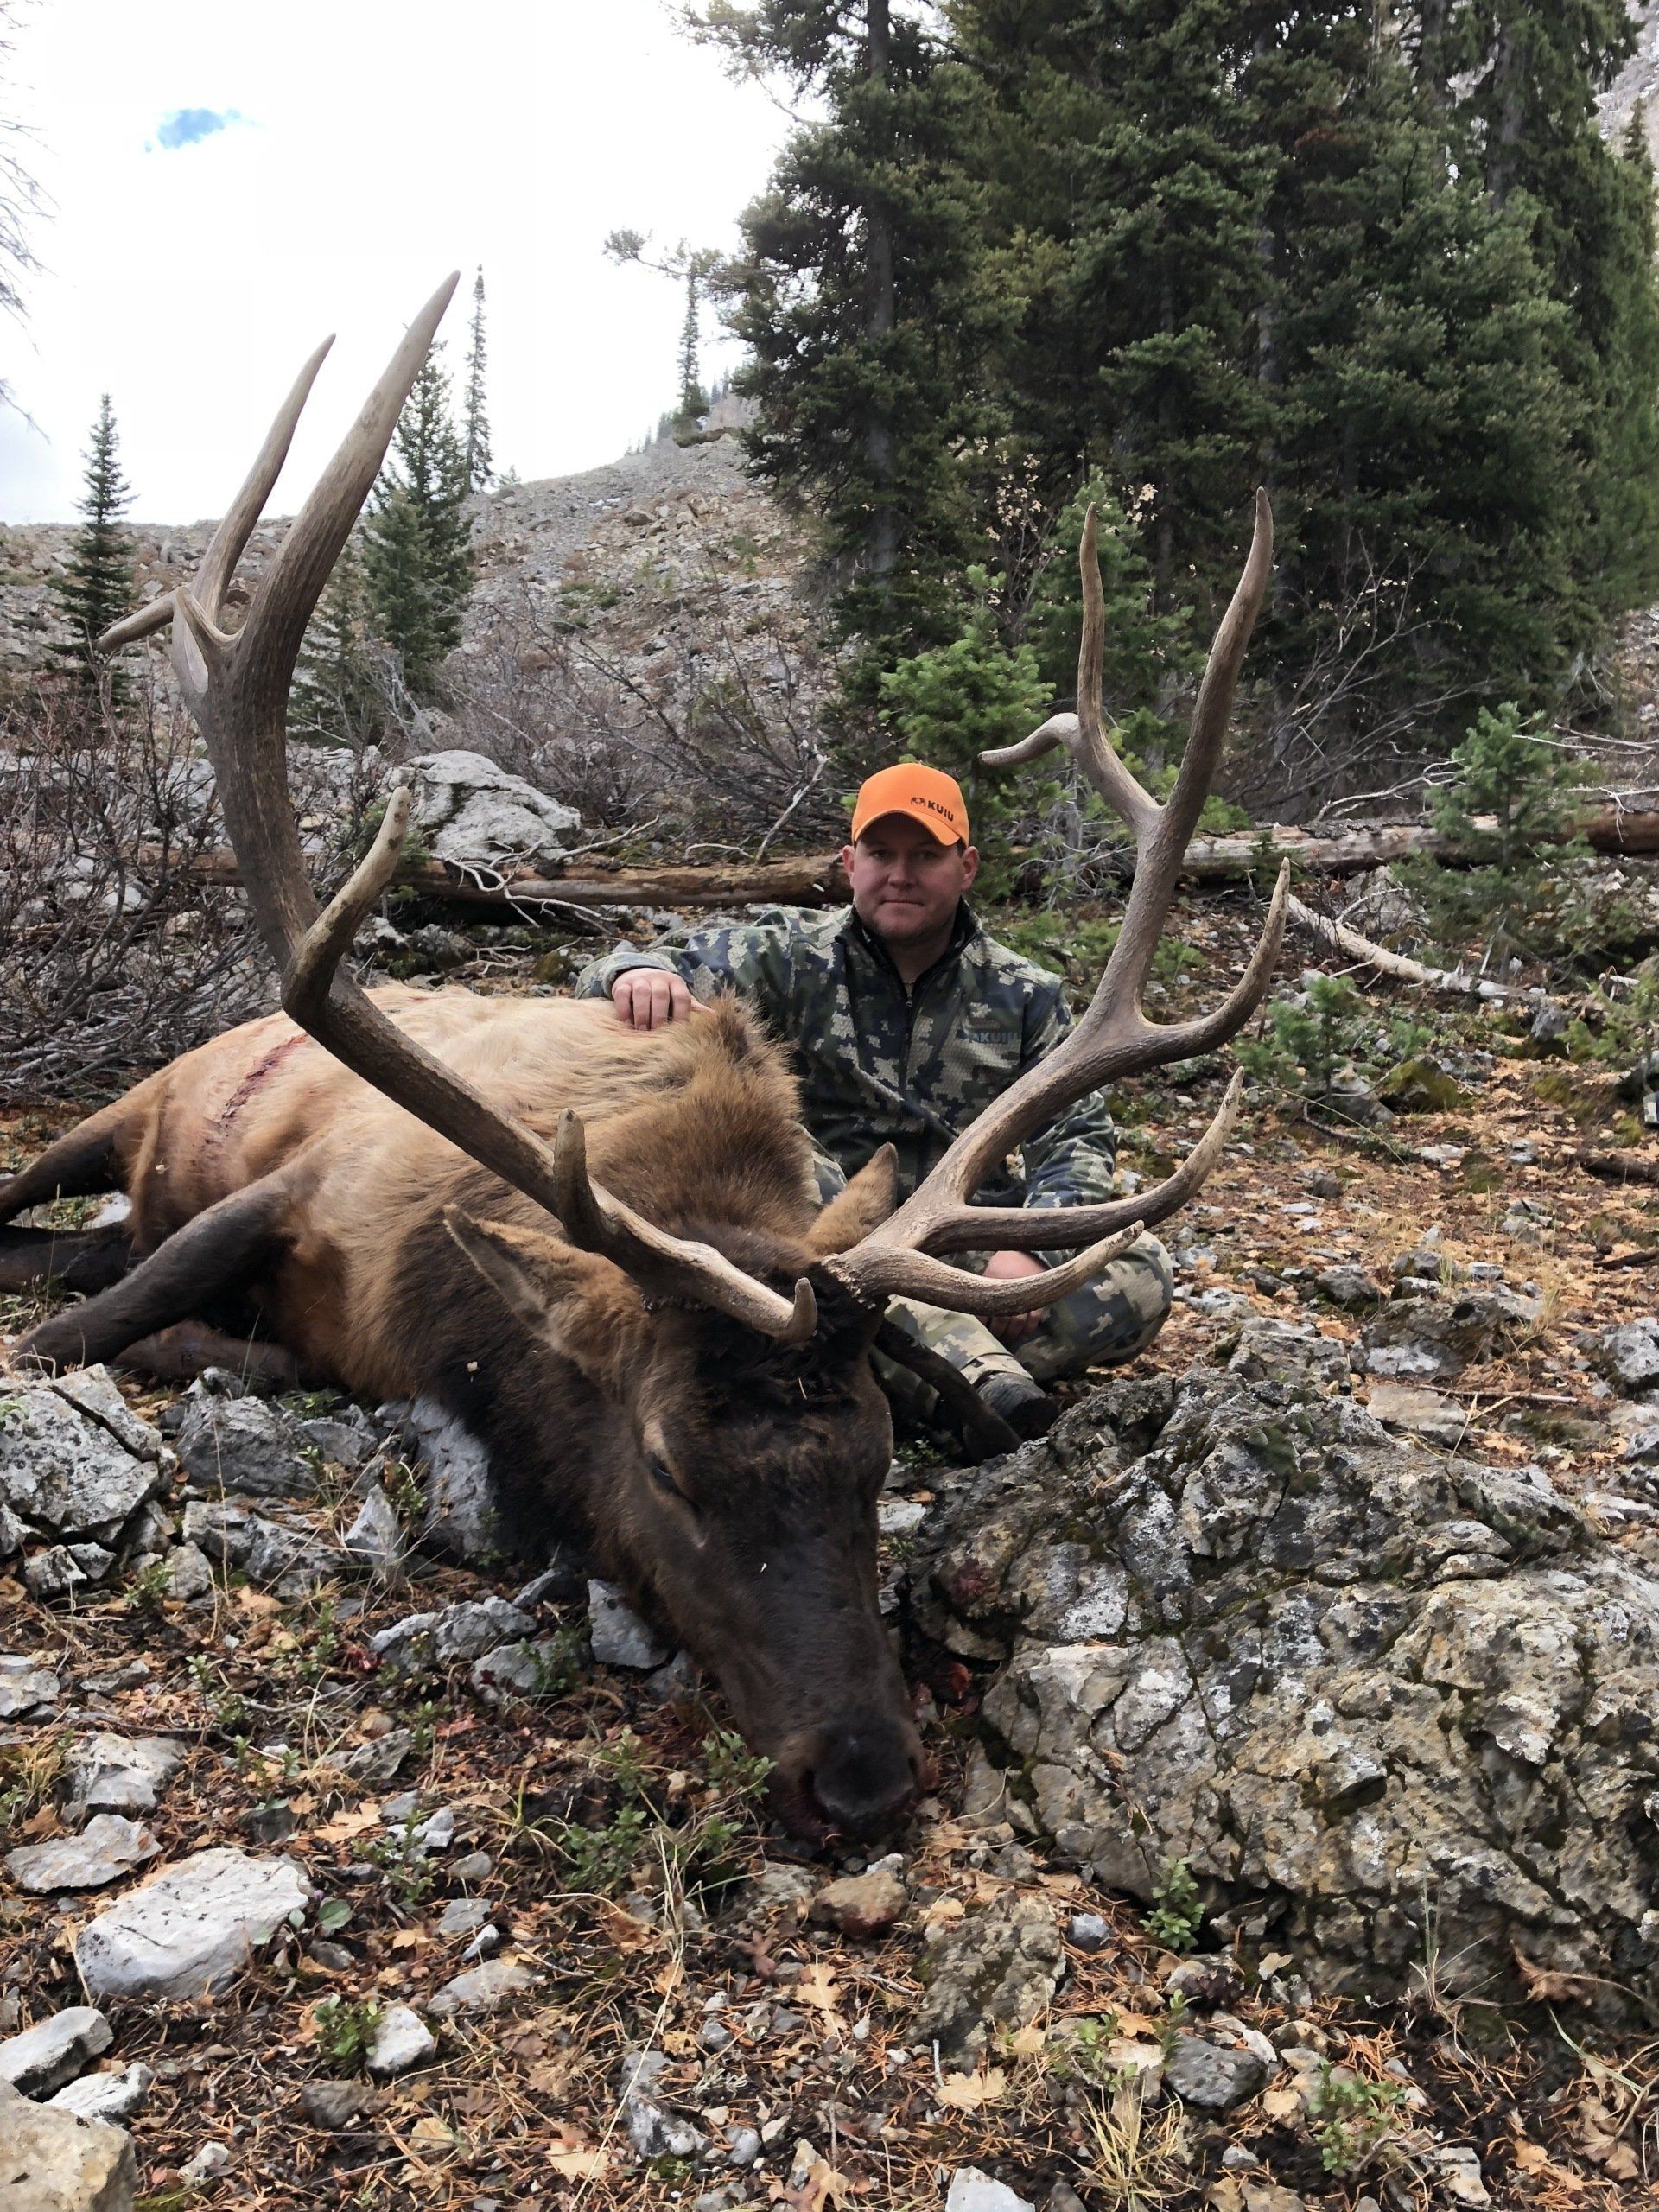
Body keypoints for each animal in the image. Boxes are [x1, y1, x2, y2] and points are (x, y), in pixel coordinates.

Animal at [0, 274, 1287, 1839]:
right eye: (669, 1464)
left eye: (877, 1454)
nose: (863, 1777)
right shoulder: (304, 1191)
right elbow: (79, 1332)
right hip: (126, 1108)